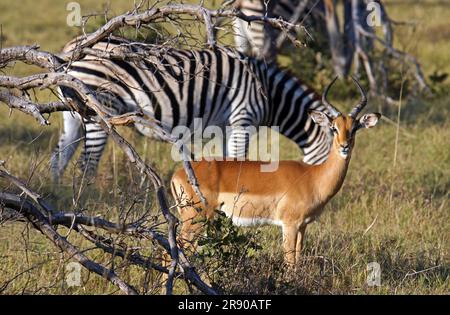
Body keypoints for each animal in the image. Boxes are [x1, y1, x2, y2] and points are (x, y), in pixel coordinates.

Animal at [51, 35, 332, 181]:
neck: (268, 92)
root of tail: (72, 47)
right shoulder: (243, 119)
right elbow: (239, 163)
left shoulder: (228, 128)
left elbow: (228, 162)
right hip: (98, 108)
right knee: (86, 165)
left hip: (72, 113)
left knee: (59, 156)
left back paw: (62, 196)